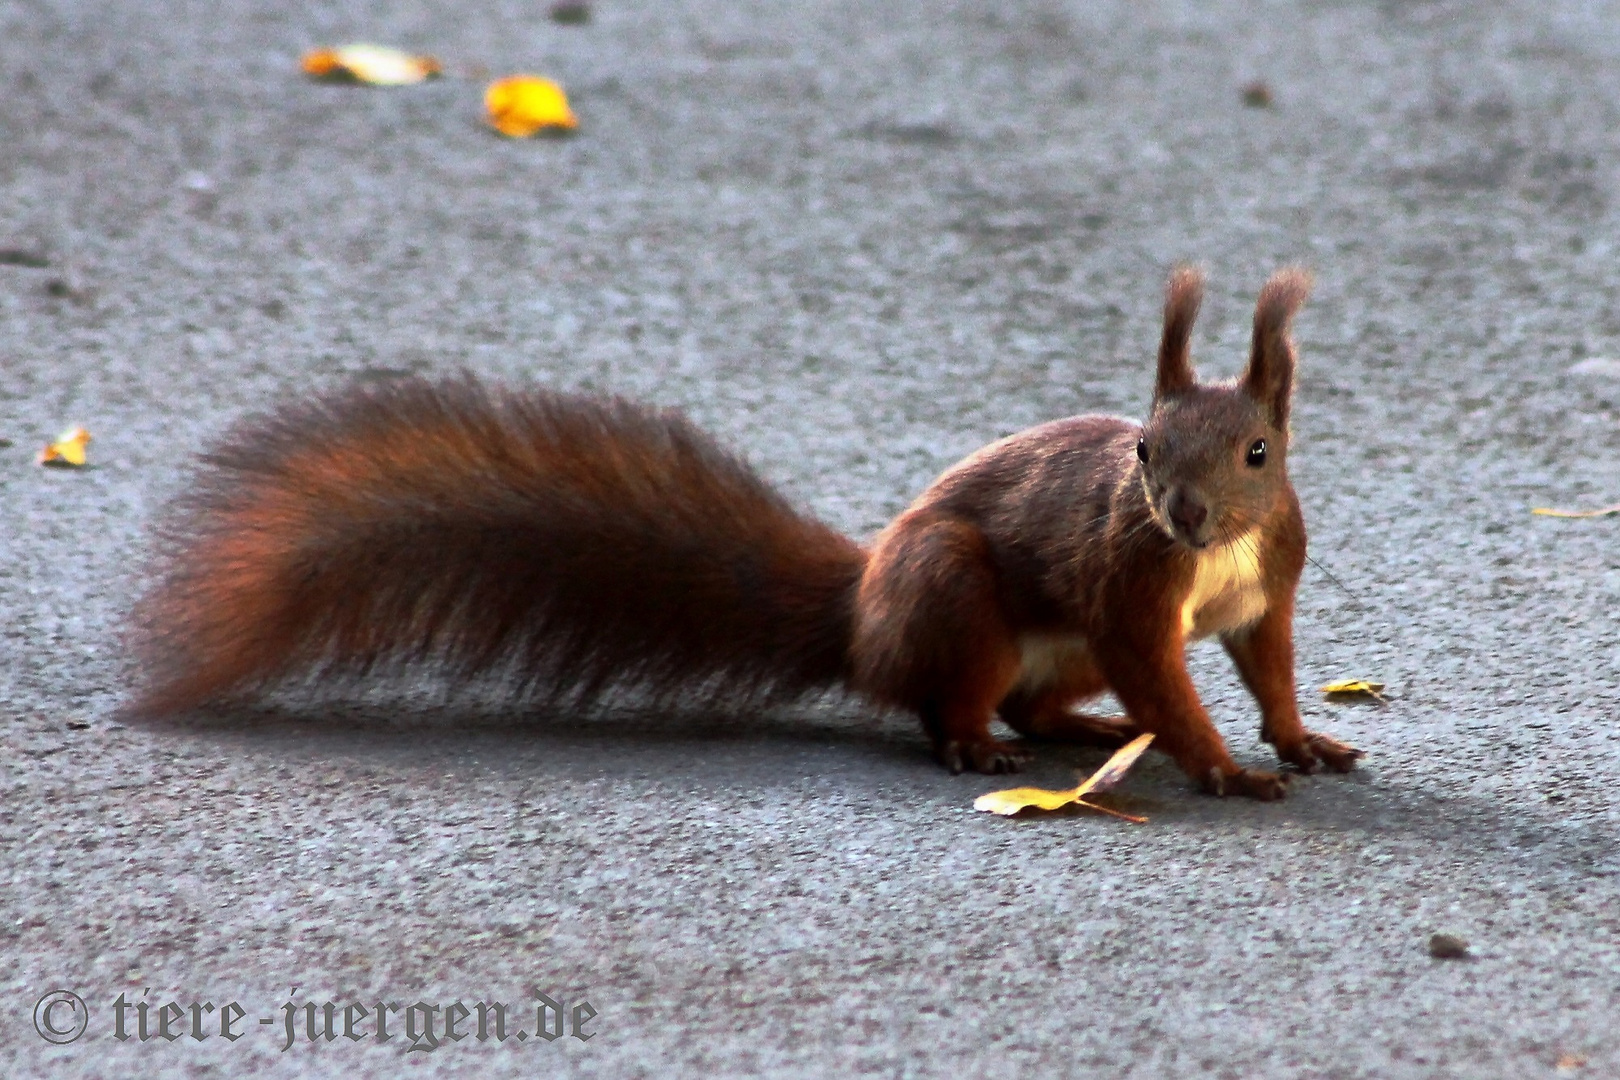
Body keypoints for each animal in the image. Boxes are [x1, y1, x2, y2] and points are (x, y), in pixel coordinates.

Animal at [126, 265, 1360, 799]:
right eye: (1143, 451)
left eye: (1260, 453)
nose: (1182, 514)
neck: (1210, 556)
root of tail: (860, 619)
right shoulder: (1131, 592)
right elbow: (1166, 681)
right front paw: (1224, 769)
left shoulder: (1266, 587)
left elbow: (1269, 665)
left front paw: (1300, 741)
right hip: (956, 593)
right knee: (957, 701)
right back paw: (979, 746)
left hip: (1039, 642)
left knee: (1034, 698)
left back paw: (1079, 727)